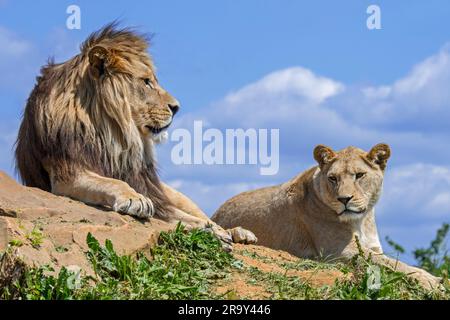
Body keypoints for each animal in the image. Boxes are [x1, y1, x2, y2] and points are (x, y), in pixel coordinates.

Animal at [15, 23, 255, 248]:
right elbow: (113, 182)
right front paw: (134, 199)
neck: (112, 132)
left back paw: (239, 232)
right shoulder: (67, 174)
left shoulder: (151, 188)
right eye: (147, 81)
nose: (176, 107)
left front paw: (215, 231)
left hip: (175, 194)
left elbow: (186, 218)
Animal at [213, 144, 442, 288]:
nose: (344, 199)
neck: (361, 220)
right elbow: (393, 264)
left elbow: (389, 260)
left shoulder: (372, 247)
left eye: (359, 175)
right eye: (333, 178)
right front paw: (431, 280)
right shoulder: (339, 251)